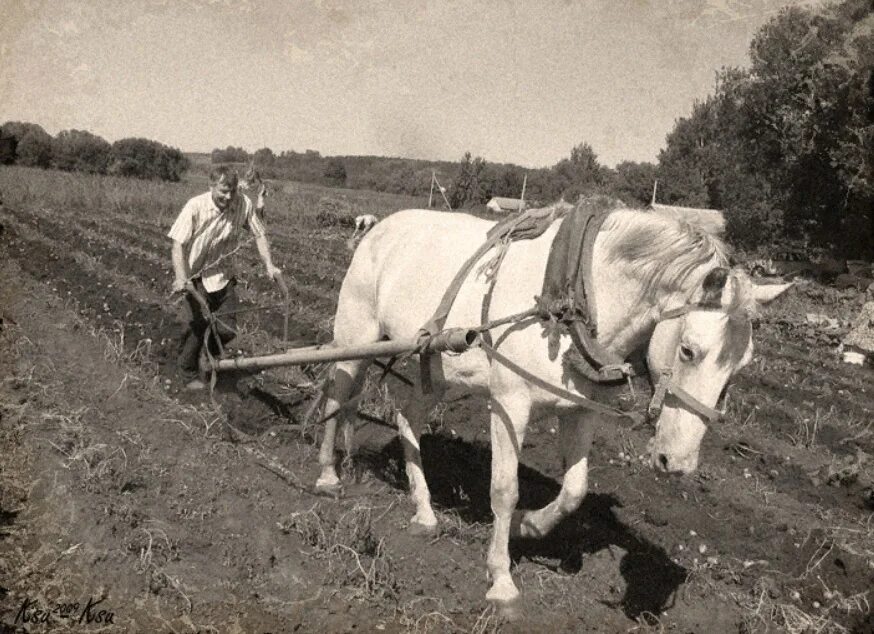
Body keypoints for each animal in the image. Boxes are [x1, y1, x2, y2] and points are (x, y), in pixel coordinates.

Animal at [316, 206, 792, 612]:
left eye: (740, 366)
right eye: (690, 350)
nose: (676, 463)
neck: (571, 303)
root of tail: (380, 227)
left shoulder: (581, 410)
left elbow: (575, 490)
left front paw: (527, 526)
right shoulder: (509, 404)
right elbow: (504, 489)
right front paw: (501, 578)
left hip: (438, 367)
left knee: (406, 418)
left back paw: (423, 509)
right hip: (356, 338)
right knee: (339, 398)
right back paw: (328, 476)